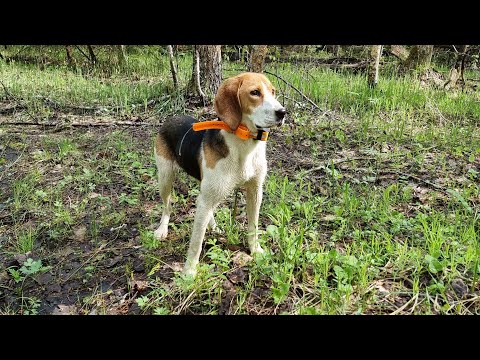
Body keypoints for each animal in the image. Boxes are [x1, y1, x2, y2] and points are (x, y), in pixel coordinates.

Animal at [153, 72, 284, 276]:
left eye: (273, 91)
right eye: (255, 93)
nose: (282, 112)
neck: (244, 144)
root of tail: (171, 118)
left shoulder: (255, 191)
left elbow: (253, 227)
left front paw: (256, 251)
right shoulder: (206, 198)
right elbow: (196, 241)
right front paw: (189, 272)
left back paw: (213, 226)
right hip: (166, 178)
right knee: (168, 206)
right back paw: (162, 230)